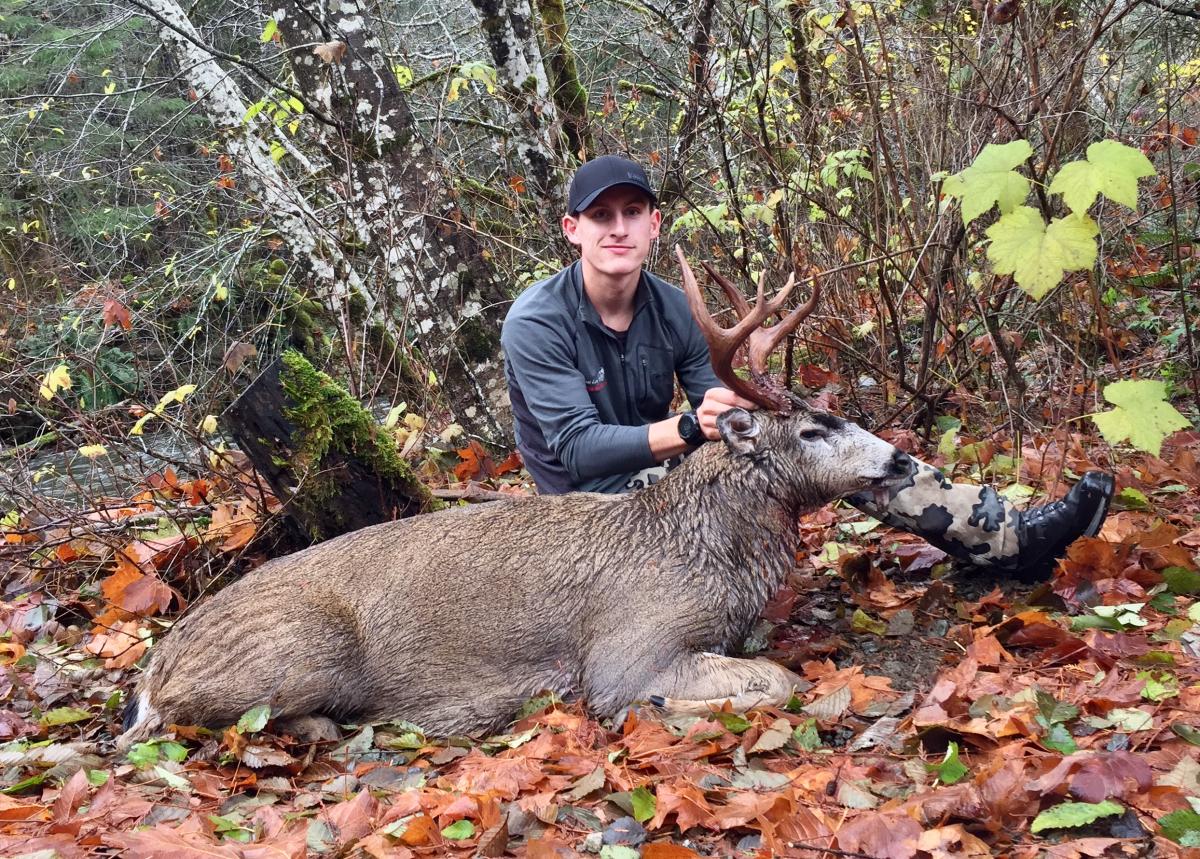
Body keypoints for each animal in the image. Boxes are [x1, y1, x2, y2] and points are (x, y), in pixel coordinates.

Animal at [117, 249, 914, 749]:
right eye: (813, 429)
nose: (901, 457)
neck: (701, 547)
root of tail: (153, 670)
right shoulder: (630, 648)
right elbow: (775, 681)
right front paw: (662, 706)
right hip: (297, 648)